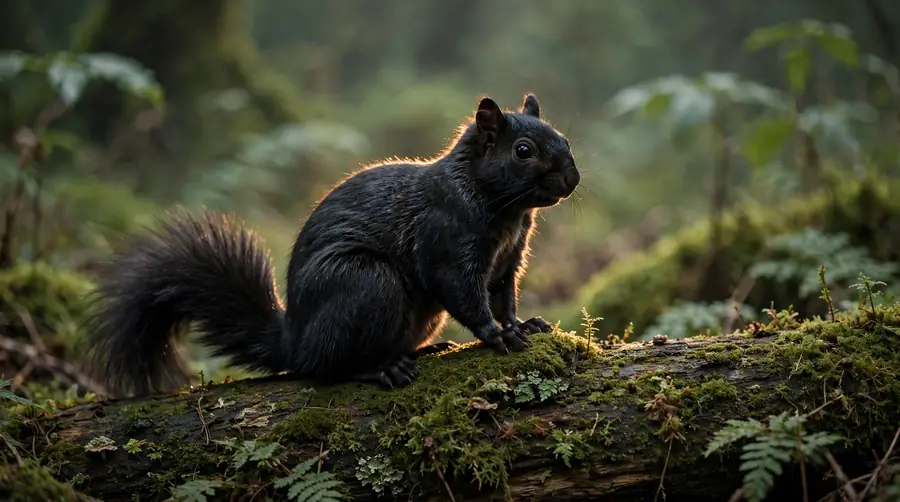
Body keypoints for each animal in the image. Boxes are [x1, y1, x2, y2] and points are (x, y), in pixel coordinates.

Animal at [86, 93, 580, 397]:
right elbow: (466, 296)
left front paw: (524, 323)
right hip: (367, 283)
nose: (572, 179)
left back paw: (420, 350)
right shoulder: (447, 241)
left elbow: (503, 297)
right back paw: (380, 368)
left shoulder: (508, 260)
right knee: (323, 367)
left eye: (564, 138)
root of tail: (295, 339)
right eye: (522, 150)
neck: (501, 207)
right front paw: (497, 335)